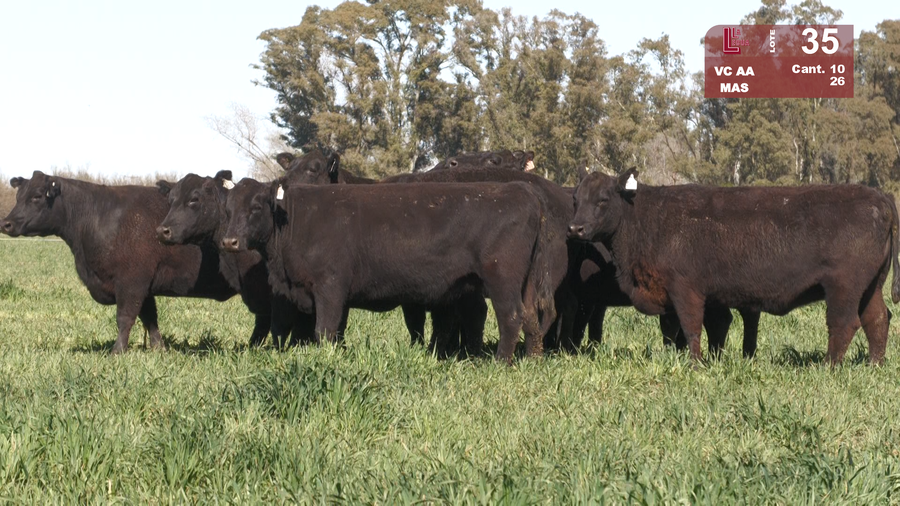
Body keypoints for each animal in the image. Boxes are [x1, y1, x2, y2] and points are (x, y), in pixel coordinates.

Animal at [0, 171, 237, 354]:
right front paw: (159, 350)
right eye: (19, 196)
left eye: (37, 196)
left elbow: (125, 317)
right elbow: (150, 319)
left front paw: (117, 351)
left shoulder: (131, 281)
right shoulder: (145, 288)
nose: (6, 223)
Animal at [220, 179, 557, 363]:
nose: (229, 241)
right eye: (228, 210)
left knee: (511, 317)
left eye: (256, 207)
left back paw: (500, 363)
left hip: (502, 279)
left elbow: (324, 330)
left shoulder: (330, 287)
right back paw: (532, 359)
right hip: (524, 282)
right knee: (530, 317)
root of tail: (523, 191)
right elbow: (334, 331)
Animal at [568, 168, 900, 364]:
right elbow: (702, 329)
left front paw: (696, 364)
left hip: (844, 287)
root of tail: (879, 196)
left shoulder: (685, 289)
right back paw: (874, 364)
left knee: (844, 323)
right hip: (871, 286)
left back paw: (829, 366)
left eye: (603, 199)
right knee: (877, 318)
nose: (575, 228)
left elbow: (690, 327)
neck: (647, 218)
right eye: (575, 198)